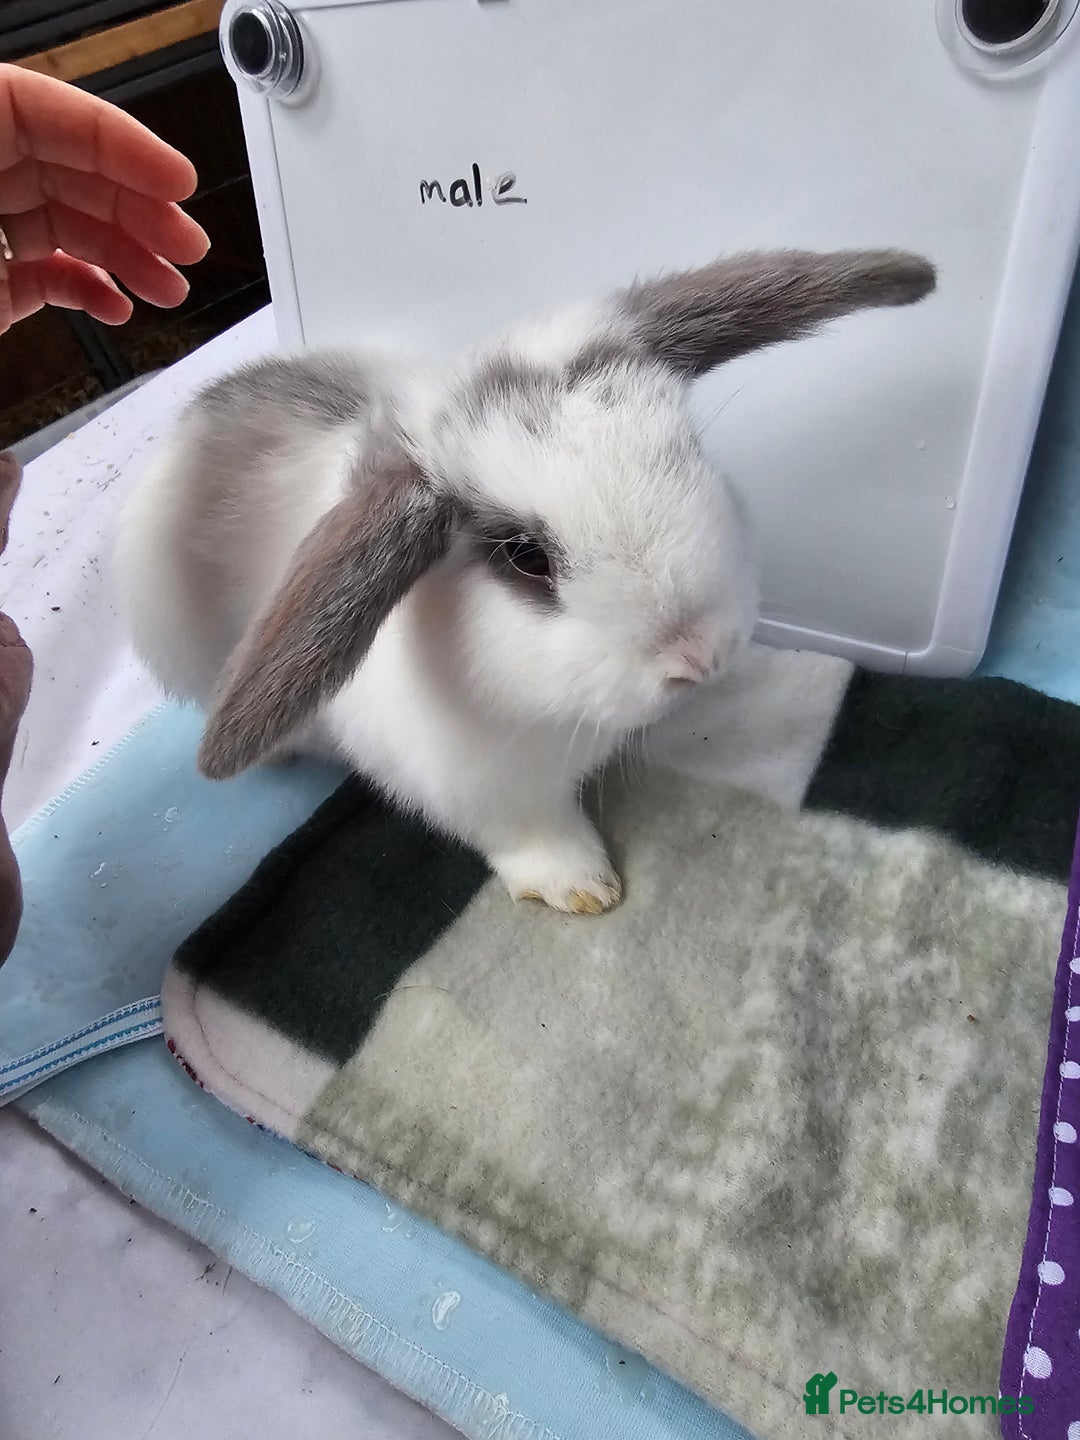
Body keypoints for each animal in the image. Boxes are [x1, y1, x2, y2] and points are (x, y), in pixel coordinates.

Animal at [114, 248, 935, 914]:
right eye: (525, 555)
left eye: (691, 453)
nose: (702, 656)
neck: (550, 714)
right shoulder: (482, 788)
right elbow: (533, 836)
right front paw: (584, 889)